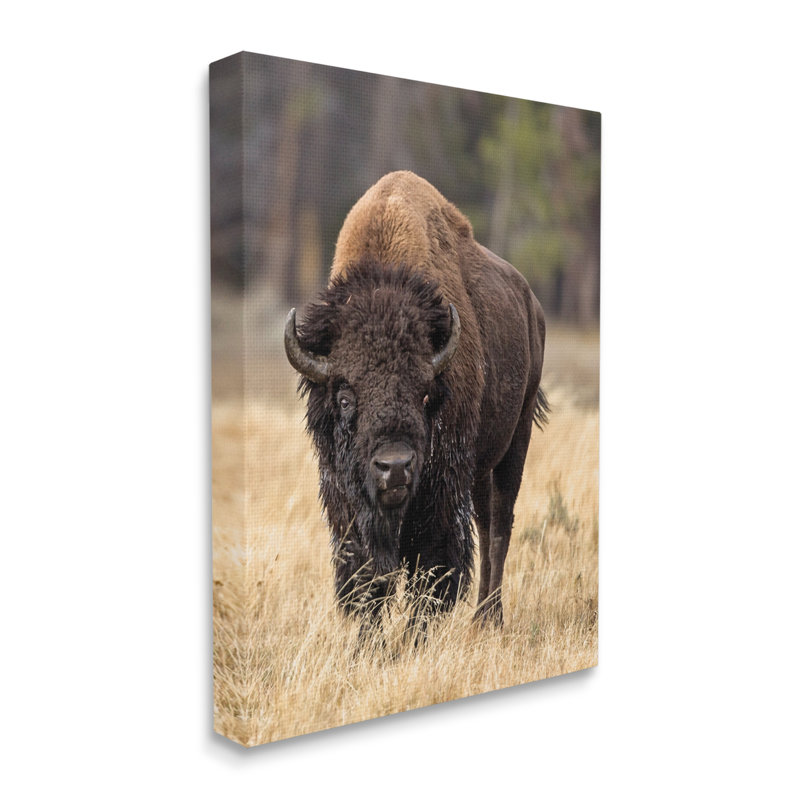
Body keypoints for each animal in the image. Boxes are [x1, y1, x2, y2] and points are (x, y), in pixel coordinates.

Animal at [285, 171, 548, 631]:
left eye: (424, 391)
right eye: (345, 397)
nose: (395, 467)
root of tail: (532, 304)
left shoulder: (440, 494)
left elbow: (432, 570)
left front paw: (413, 638)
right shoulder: (345, 499)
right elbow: (367, 576)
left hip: (516, 440)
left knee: (500, 524)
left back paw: (489, 618)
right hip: (481, 465)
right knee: (485, 522)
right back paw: (480, 617)